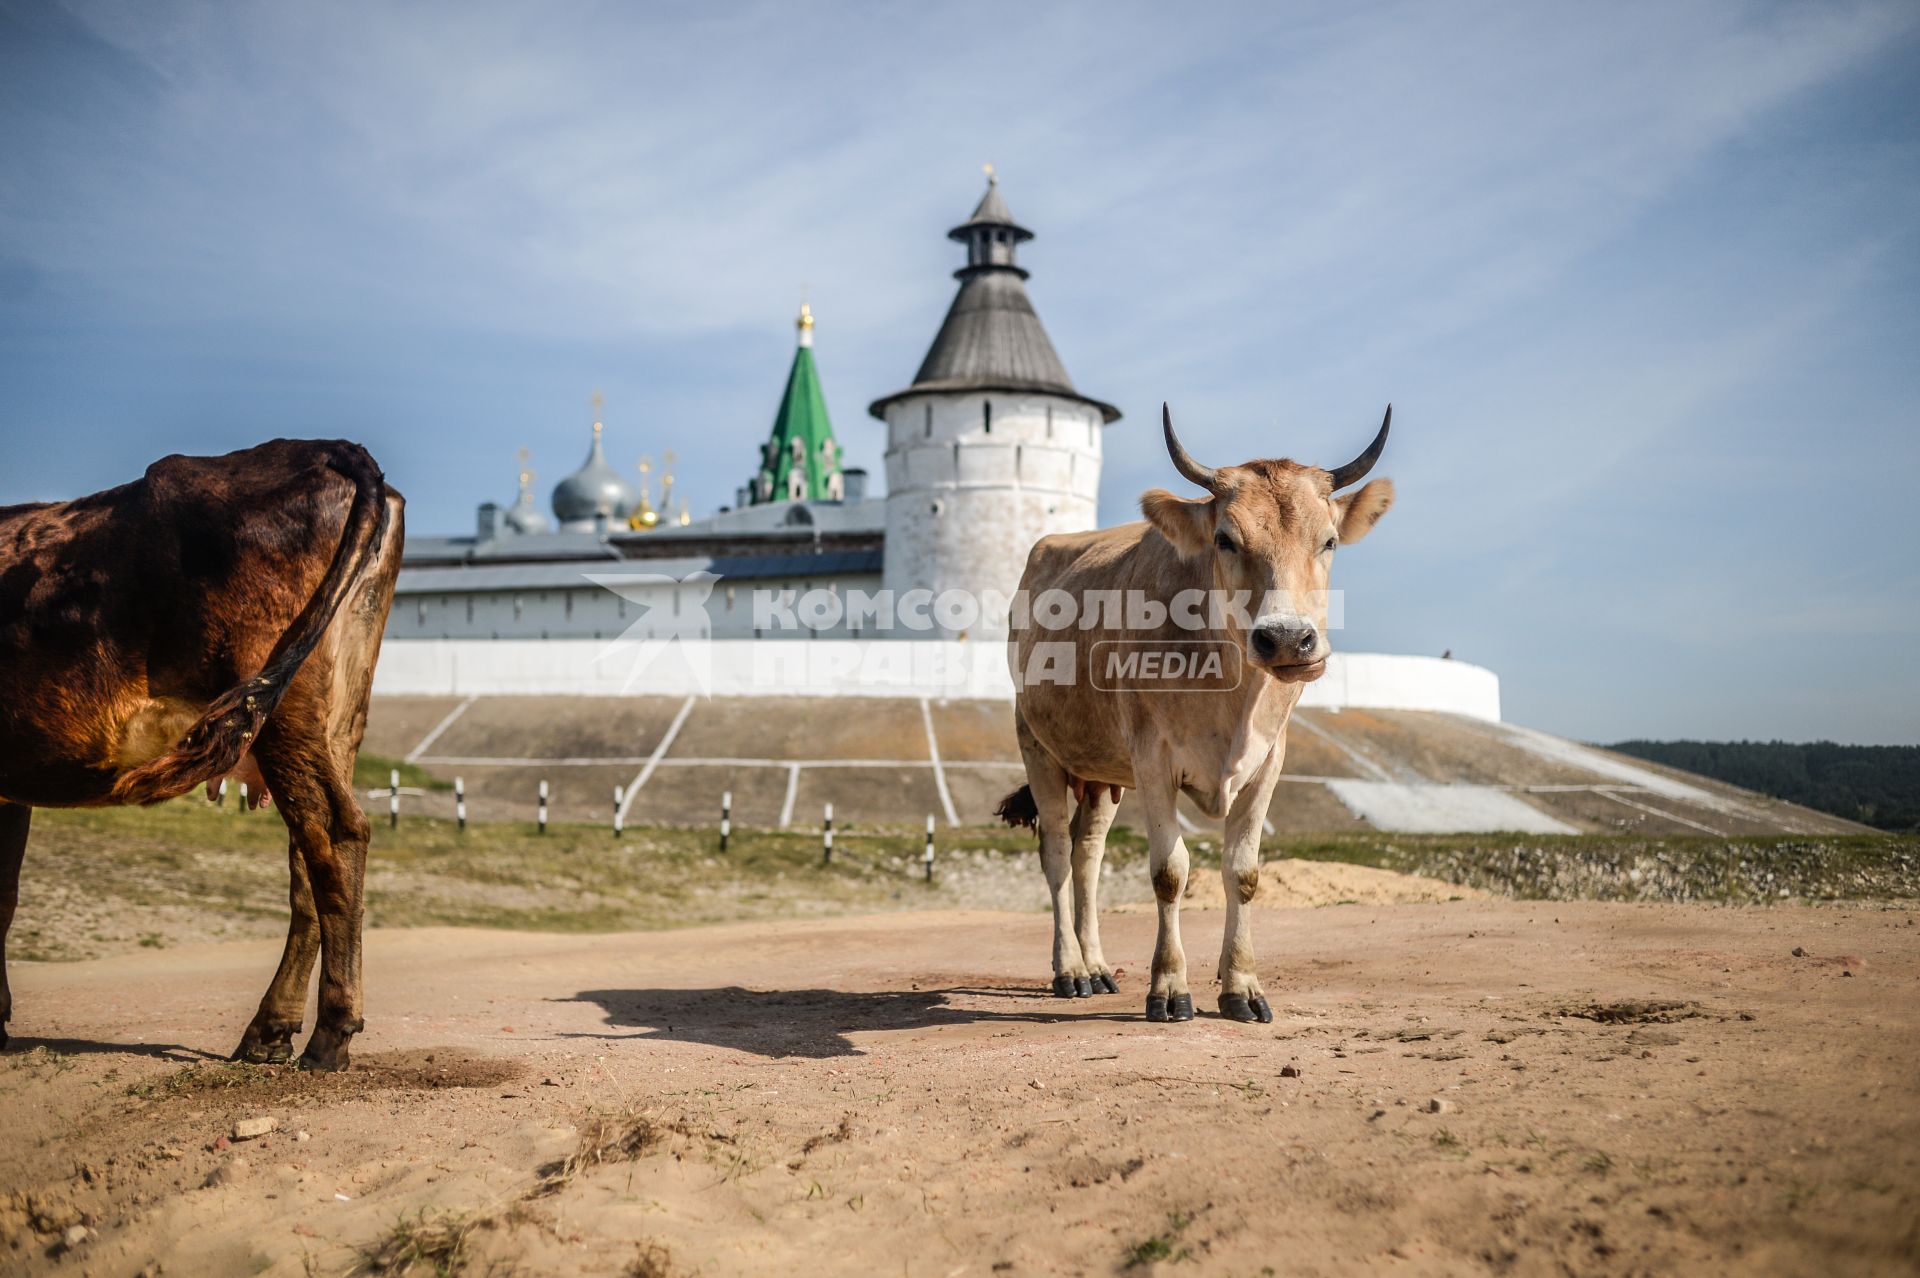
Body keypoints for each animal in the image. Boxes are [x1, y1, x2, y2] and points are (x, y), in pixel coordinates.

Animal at [0, 437, 401, 1066]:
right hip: (335, 720)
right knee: (308, 857)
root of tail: (329, 448)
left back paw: (331, 1032)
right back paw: (270, 1031)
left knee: (335, 833)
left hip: (286, 710)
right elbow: (6, 895)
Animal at [1006, 402, 1397, 1020]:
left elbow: (1244, 873)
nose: (1287, 640)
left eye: (1329, 541)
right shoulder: (1152, 761)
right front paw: (1169, 987)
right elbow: (1170, 872)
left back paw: (1098, 966)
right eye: (1225, 539)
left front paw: (1241, 985)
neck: (1232, 694)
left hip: (1101, 776)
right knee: (1057, 853)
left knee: (1088, 853)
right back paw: (1070, 969)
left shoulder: (1268, 762)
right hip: (1037, 745)